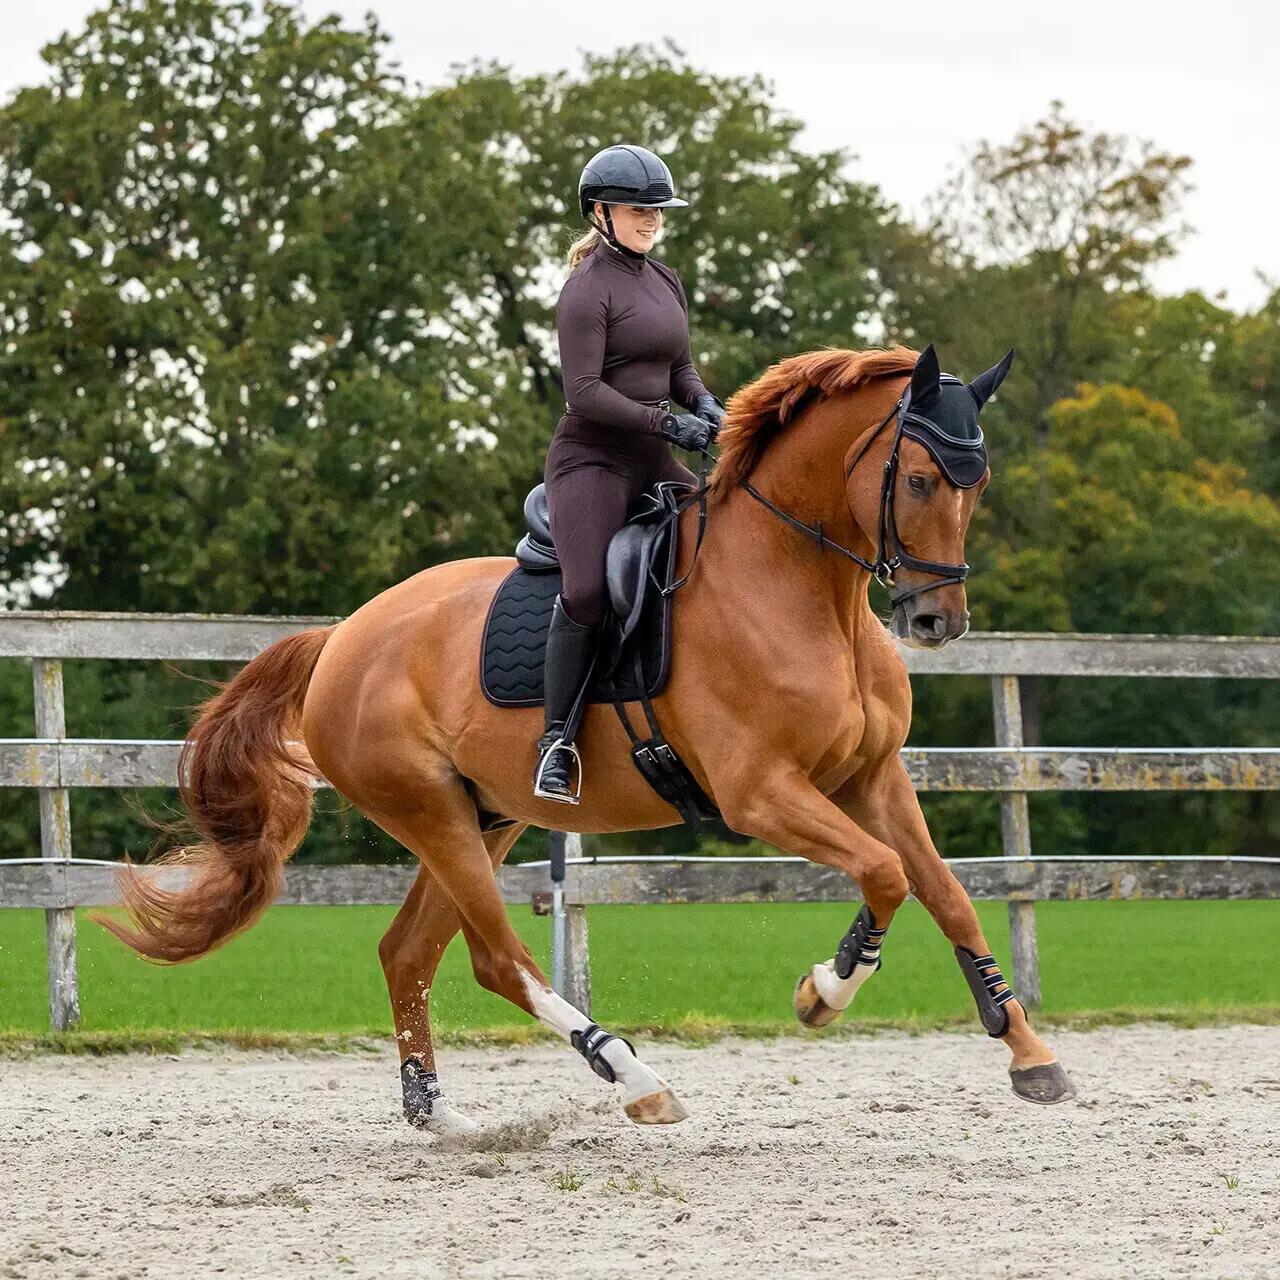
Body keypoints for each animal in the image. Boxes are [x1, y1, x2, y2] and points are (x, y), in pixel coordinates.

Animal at [96, 342, 1075, 1132]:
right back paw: (634, 1078)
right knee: (495, 958)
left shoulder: (872, 777)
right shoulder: (761, 793)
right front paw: (824, 991)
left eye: (978, 483)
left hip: (483, 819)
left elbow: (945, 891)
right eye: (919, 480)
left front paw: (1028, 1051)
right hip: (433, 814)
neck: (800, 592)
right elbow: (884, 874)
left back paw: (438, 1116)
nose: (937, 621)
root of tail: (340, 638)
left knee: (408, 951)